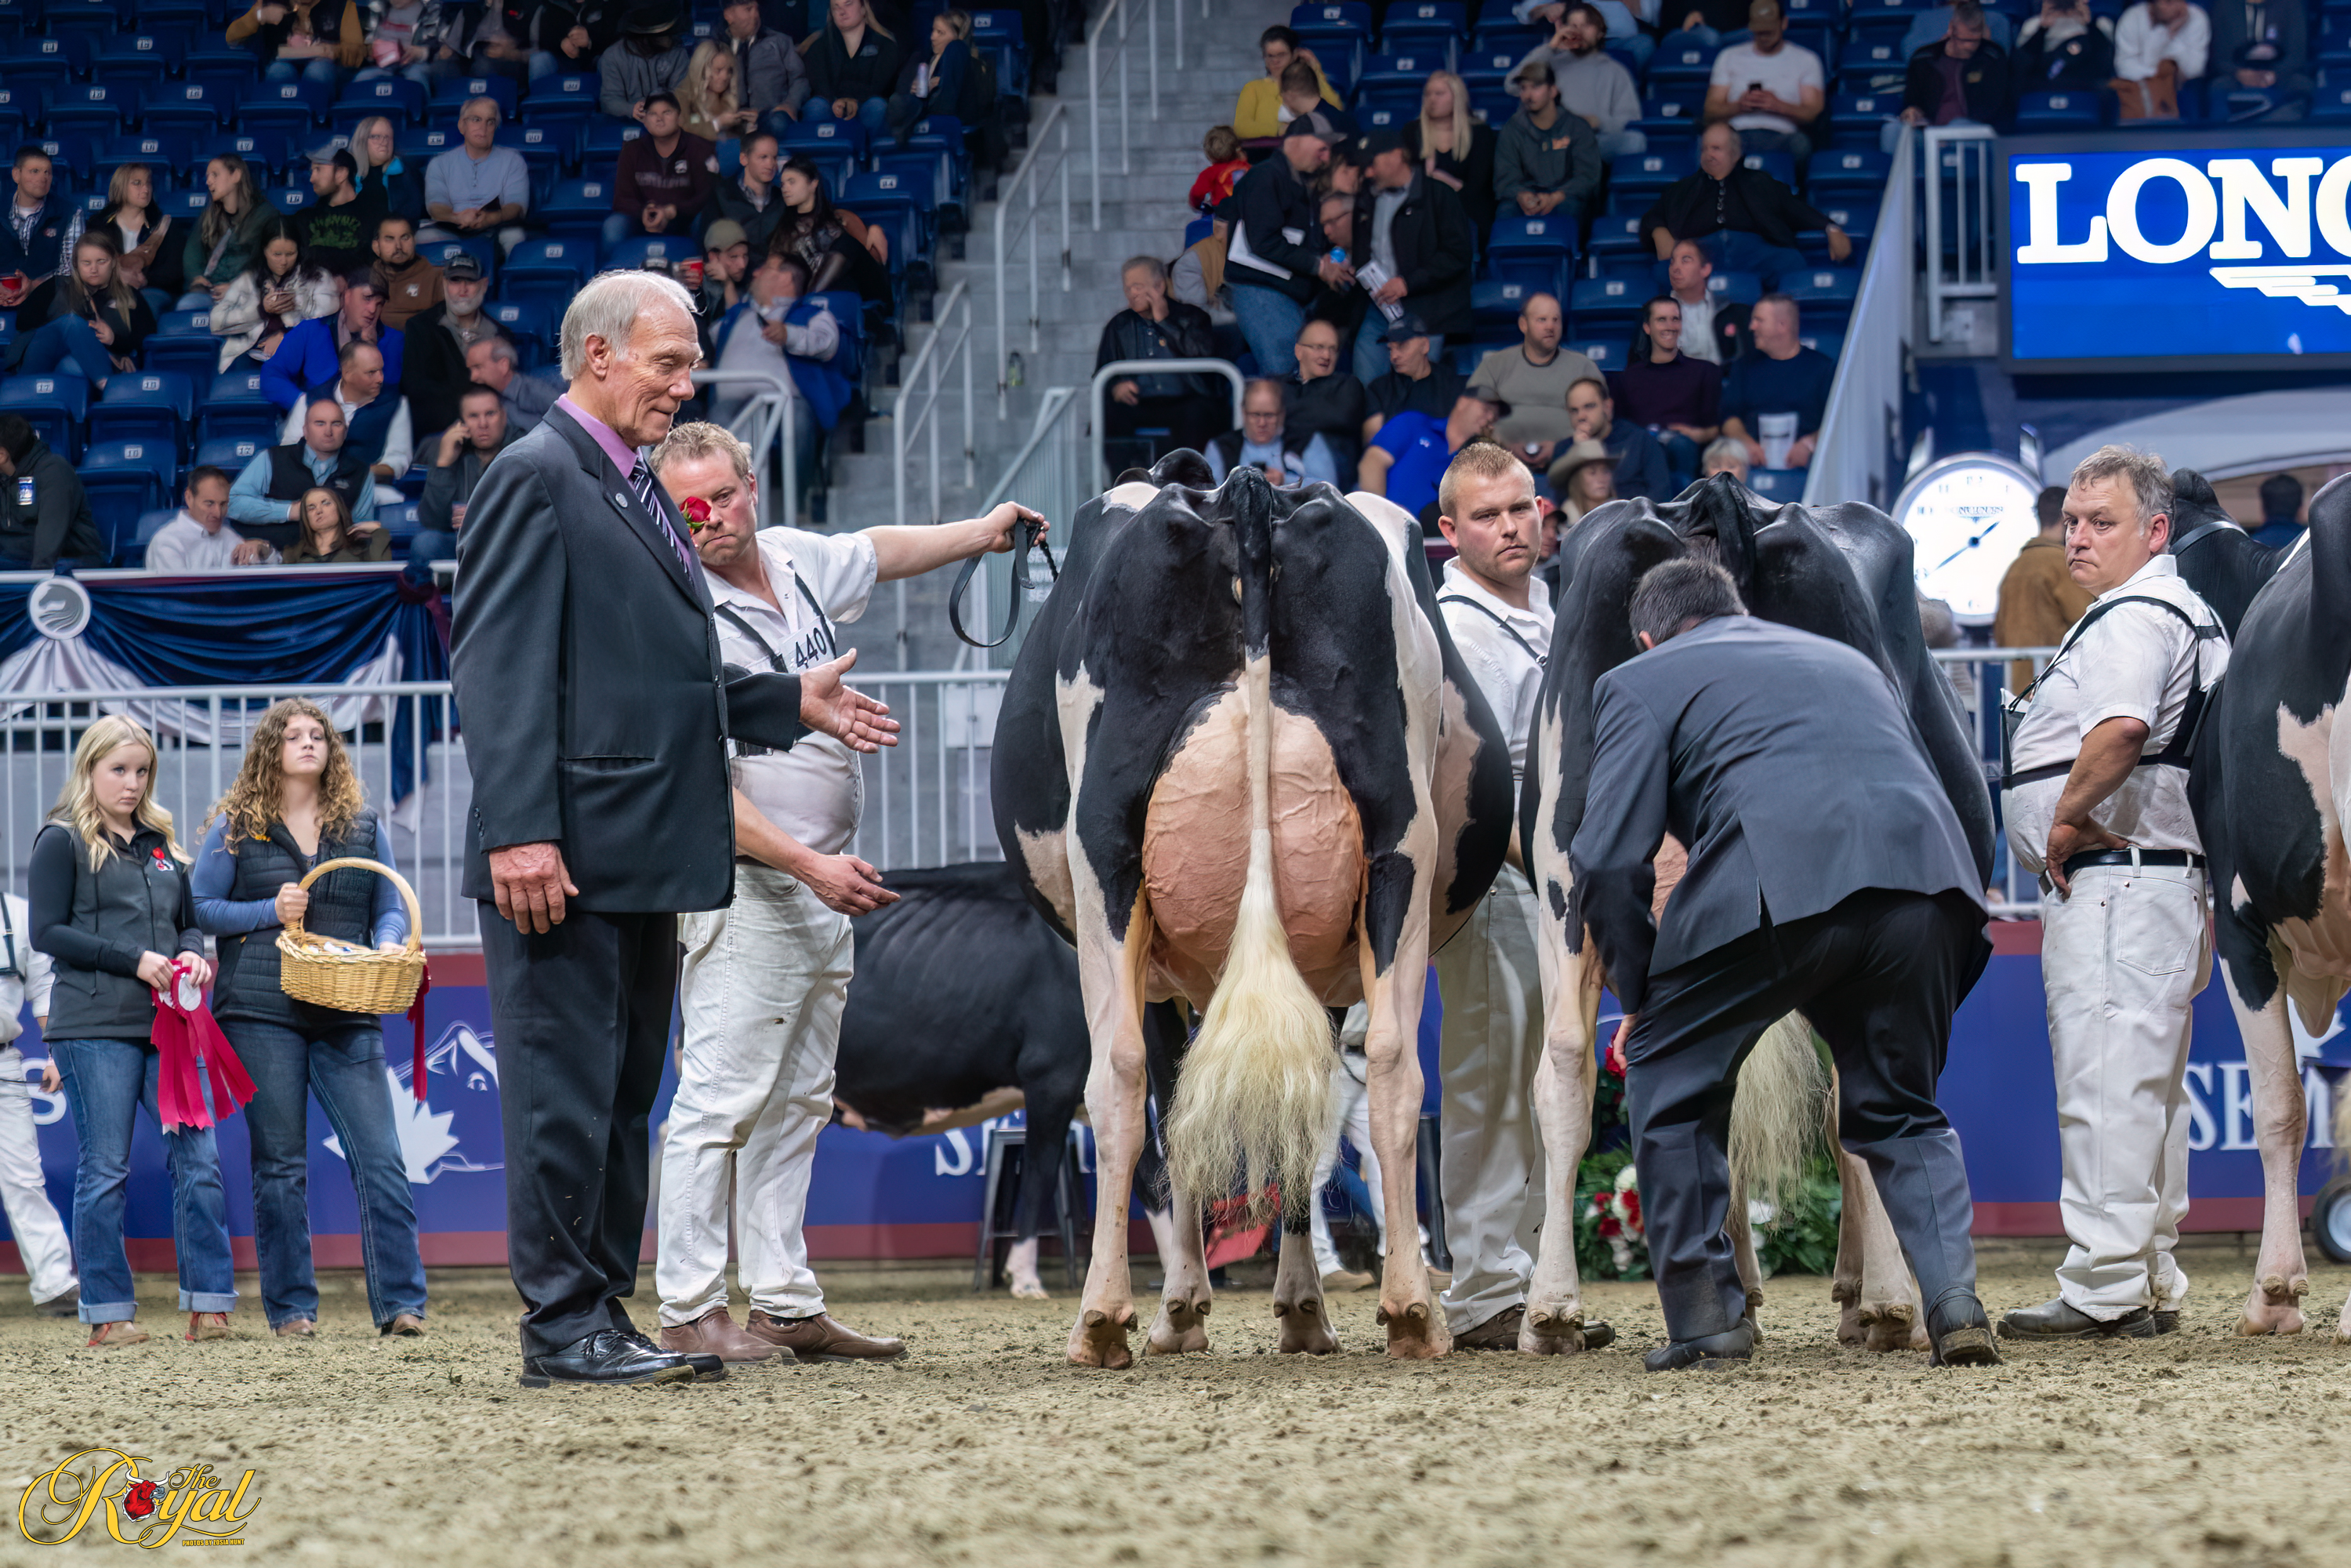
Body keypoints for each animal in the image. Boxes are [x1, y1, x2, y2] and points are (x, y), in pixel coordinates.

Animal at [992, 455, 1516, 1367]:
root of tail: (1246, 490)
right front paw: (1301, 1310)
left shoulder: (1161, 975)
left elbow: (1174, 1112)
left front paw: (1186, 1309)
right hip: (1398, 850)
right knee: (1388, 1063)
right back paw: (1412, 1310)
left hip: (1105, 861)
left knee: (1120, 1075)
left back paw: (1104, 1318)